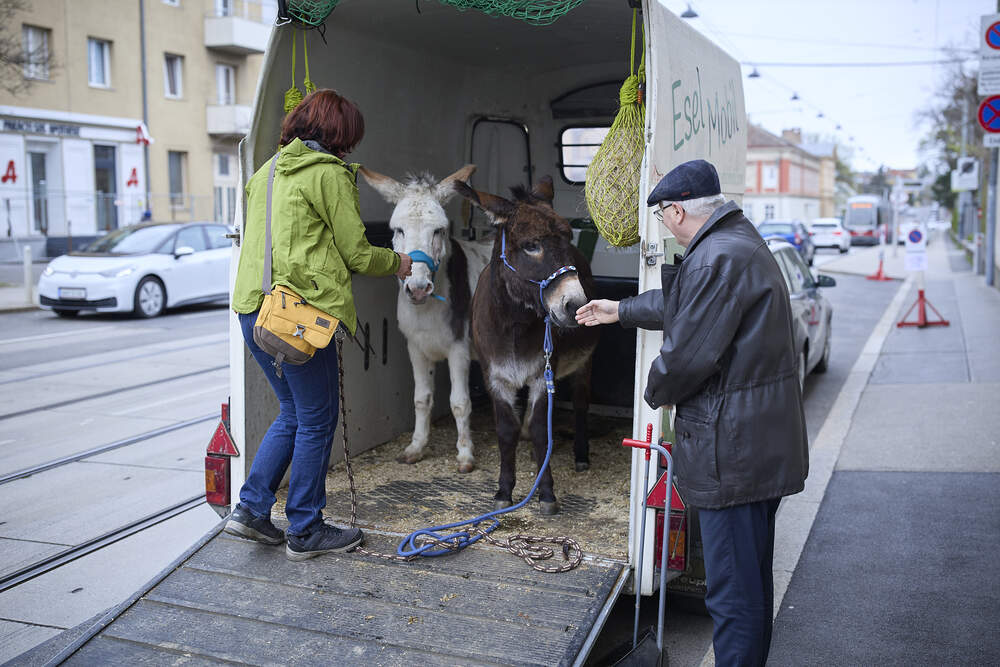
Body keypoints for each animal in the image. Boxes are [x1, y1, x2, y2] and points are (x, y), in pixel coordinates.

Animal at [360, 165, 490, 473]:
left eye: (439, 230)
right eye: (398, 229)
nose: (418, 288)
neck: (426, 310)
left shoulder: (458, 349)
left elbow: (459, 403)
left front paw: (465, 455)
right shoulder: (416, 348)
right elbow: (421, 399)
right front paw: (416, 448)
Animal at [453, 175, 598, 515]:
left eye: (567, 237)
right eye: (532, 245)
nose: (576, 305)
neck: (514, 324)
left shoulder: (542, 375)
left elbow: (540, 430)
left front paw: (546, 494)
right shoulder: (495, 377)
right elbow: (508, 430)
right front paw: (504, 491)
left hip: (584, 363)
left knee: (580, 403)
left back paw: (580, 456)